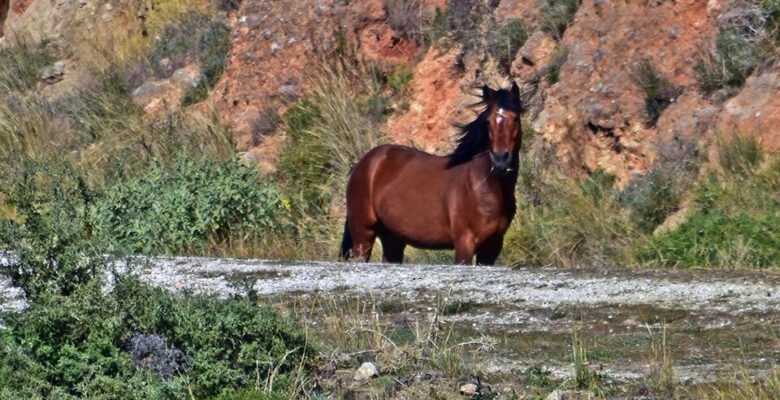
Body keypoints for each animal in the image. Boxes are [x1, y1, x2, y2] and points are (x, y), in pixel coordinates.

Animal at [342, 83, 524, 264]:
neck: (482, 186)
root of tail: (363, 163)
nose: (500, 159)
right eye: (488, 122)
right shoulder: (465, 243)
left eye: (515, 118)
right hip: (363, 236)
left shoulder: (492, 247)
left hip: (393, 240)